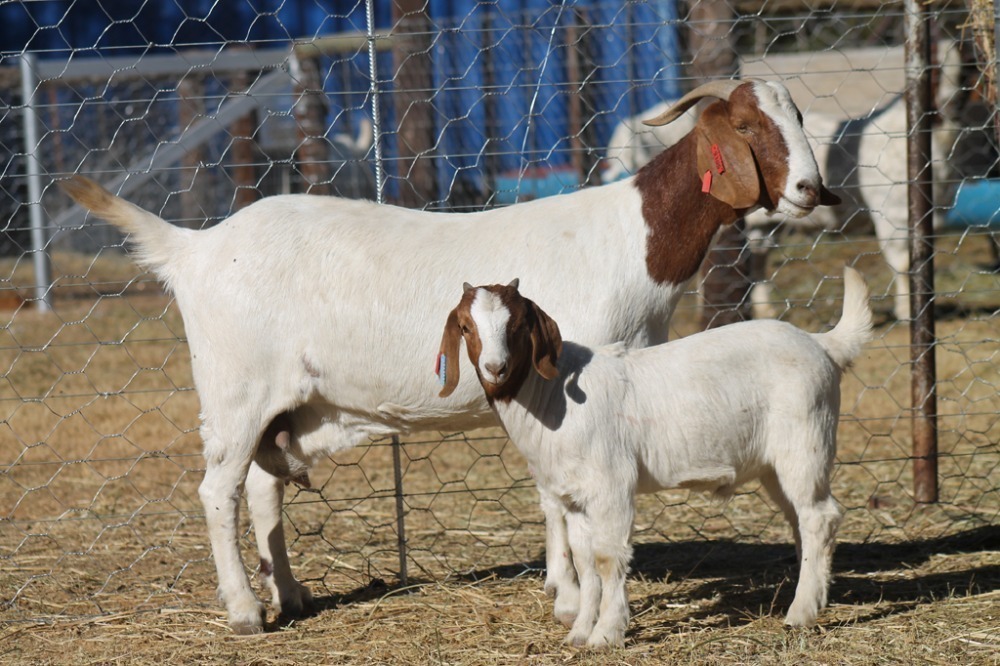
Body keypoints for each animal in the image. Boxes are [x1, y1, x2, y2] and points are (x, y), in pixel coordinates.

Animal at [438, 268, 868, 644]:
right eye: (466, 328)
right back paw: (812, 594)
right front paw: (579, 633)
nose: (496, 368)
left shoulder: (611, 484)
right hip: (774, 466)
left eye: (517, 326)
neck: (551, 397)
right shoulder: (575, 497)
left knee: (820, 516)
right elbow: (585, 562)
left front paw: (606, 634)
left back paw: (800, 612)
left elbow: (607, 558)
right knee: (802, 520)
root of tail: (822, 344)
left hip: (805, 441)